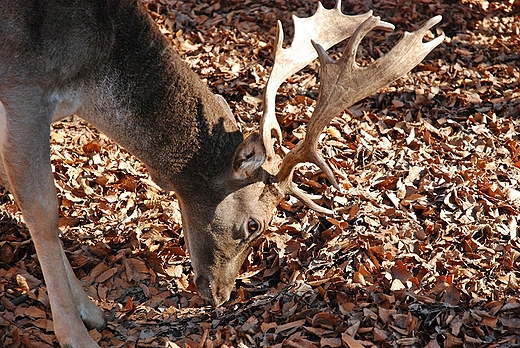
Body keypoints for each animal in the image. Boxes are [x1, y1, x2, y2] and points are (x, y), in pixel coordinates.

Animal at [0, 0, 442, 346]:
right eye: (254, 225)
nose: (222, 295)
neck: (89, 75)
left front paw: (88, 310)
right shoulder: (25, 86)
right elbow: (43, 209)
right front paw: (75, 333)